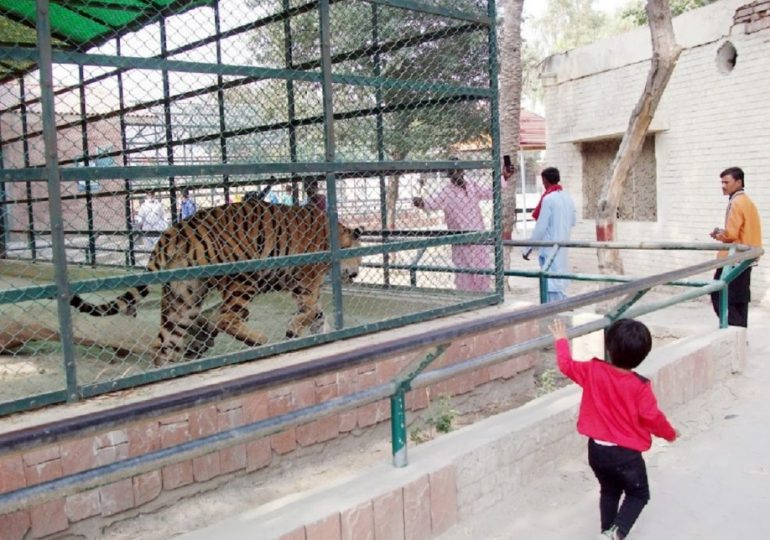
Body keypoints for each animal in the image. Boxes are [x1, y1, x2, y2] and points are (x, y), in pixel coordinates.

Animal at [70, 199, 362, 368]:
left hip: (184, 296)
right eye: (359, 255)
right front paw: (296, 330)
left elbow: (316, 312)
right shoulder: (306, 280)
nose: (357, 274)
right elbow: (312, 309)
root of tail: (175, 230)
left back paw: (170, 370)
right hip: (242, 278)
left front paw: (319, 331)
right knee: (225, 318)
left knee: (165, 343)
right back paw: (258, 340)